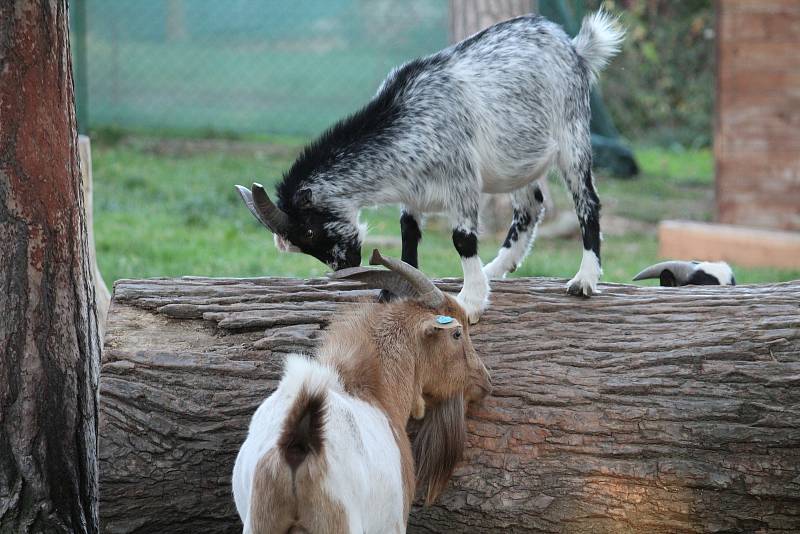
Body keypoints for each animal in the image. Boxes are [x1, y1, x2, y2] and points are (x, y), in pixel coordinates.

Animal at [233, 252, 494, 534]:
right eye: (457, 333)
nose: (485, 381)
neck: (374, 391)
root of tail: (298, 440)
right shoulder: (392, 523)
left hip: (258, 520)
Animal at [238, 11, 624, 322]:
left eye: (308, 231)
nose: (343, 267)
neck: (409, 118)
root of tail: (573, 46)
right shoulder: (412, 194)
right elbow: (408, 232)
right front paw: (396, 291)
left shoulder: (462, 181)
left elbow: (462, 239)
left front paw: (471, 301)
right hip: (515, 163)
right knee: (531, 205)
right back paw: (497, 268)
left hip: (572, 134)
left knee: (587, 202)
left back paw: (585, 279)